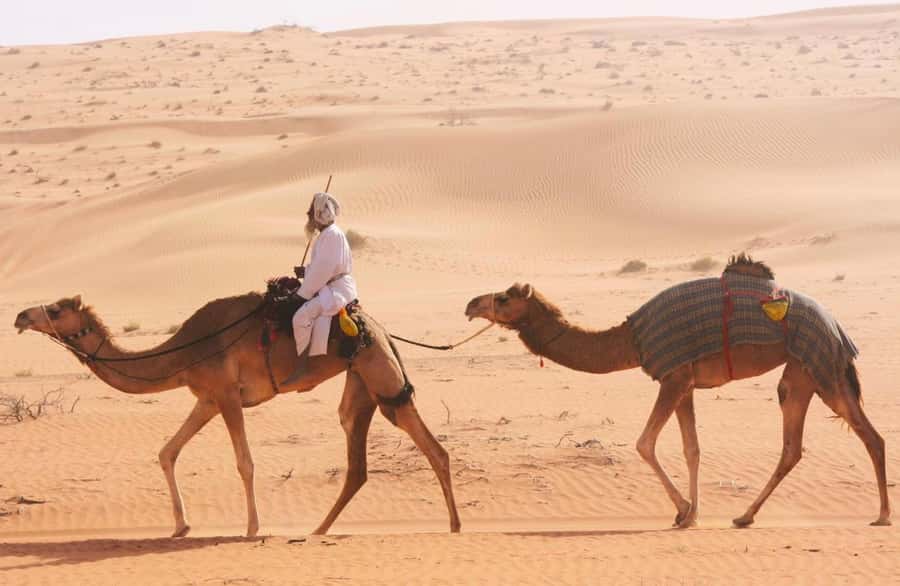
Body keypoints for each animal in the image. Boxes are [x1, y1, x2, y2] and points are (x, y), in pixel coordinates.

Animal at [13, 292, 460, 537]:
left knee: (426, 441)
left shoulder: (227, 394)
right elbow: (167, 452)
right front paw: (181, 526)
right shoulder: (208, 398)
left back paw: (454, 526)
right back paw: (318, 529)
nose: (20, 315)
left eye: (56, 309)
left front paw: (251, 528)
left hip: (377, 368)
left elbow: (245, 462)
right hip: (360, 381)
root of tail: (380, 328)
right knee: (358, 454)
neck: (182, 352)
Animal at [464, 258, 891, 529]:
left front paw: (683, 510)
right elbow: (692, 448)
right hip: (803, 372)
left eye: (503, 298)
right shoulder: (685, 383)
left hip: (820, 366)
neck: (631, 340)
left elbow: (644, 443)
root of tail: (835, 323)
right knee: (798, 444)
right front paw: (692, 514)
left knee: (866, 436)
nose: (470, 304)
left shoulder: (672, 377)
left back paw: (882, 515)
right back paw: (745, 515)